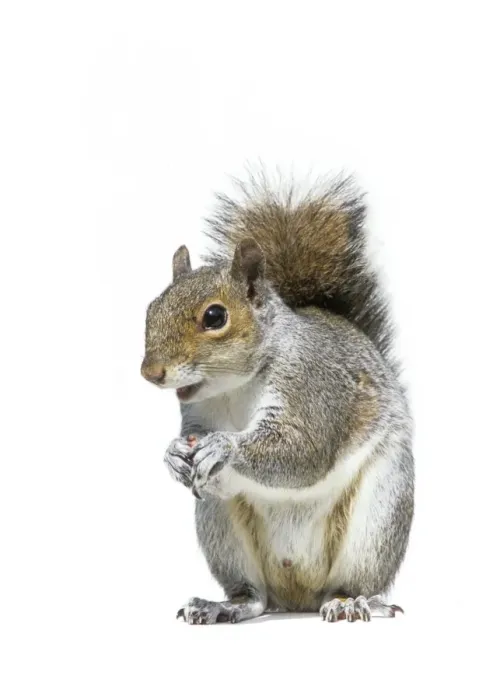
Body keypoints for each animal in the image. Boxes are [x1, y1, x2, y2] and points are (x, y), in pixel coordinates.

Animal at [141, 173, 414, 624]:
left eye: (215, 316)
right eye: (151, 309)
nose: (151, 372)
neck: (235, 385)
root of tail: (298, 595)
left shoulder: (313, 385)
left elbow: (301, 451)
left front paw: (224, 447)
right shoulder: (197, 414)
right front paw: (172, 454)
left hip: (377, 520)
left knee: (353, 581)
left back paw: (349, 602)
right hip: (221, 525)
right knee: (254, 597)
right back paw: (223, 606)